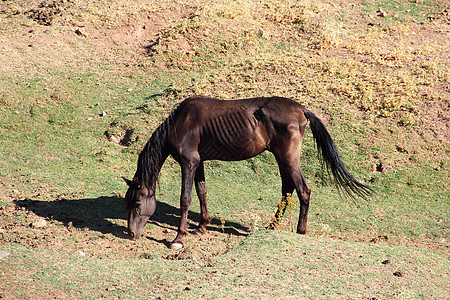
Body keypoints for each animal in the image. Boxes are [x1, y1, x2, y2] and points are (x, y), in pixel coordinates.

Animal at [122, 95, 370, 248]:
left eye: (137, 203)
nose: (131, 234)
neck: (180, 123)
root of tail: (301, 109)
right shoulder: (198, 163)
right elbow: (202, 192)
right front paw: (202, 226)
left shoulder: (188, 162)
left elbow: (185, 198)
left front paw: (179, 238)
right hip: (282, 159)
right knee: (287, 189)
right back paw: (272, 225)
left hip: (289, 159)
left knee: (303, 190)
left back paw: (300, 230)